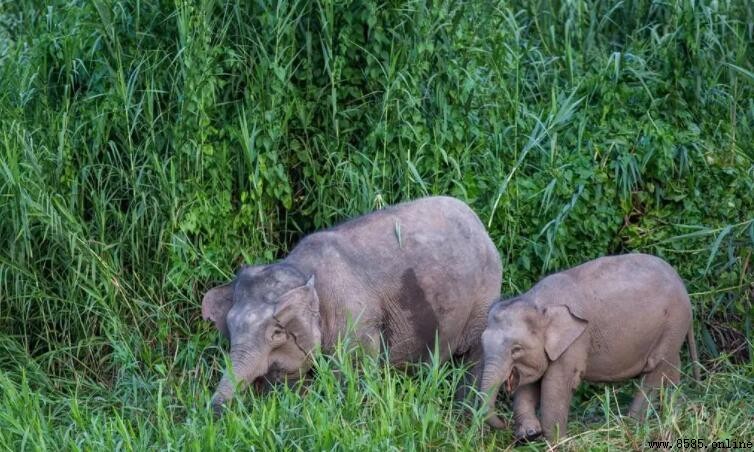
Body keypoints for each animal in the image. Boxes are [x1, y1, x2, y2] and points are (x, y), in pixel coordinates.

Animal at [202, 196, 502, 416]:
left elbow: (352, 376)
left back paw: (469, 409)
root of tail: (480, 224)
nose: (214, 413)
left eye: (276, 334)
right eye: (230, 331)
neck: (299, 270)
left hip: (484, 297)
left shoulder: (355, 321)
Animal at [480, 253, 700, 442]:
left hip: (673, 324)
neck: (538, 303)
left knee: (655, 371)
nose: (504, 424)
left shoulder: (575, 342)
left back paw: (631, 424)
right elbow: (528, 385)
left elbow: (556, 385)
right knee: (670, 368)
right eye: (482, 342)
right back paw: (675, 413)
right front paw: (530, 434)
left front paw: (555, 442)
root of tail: (683, 285)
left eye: (516, 349)